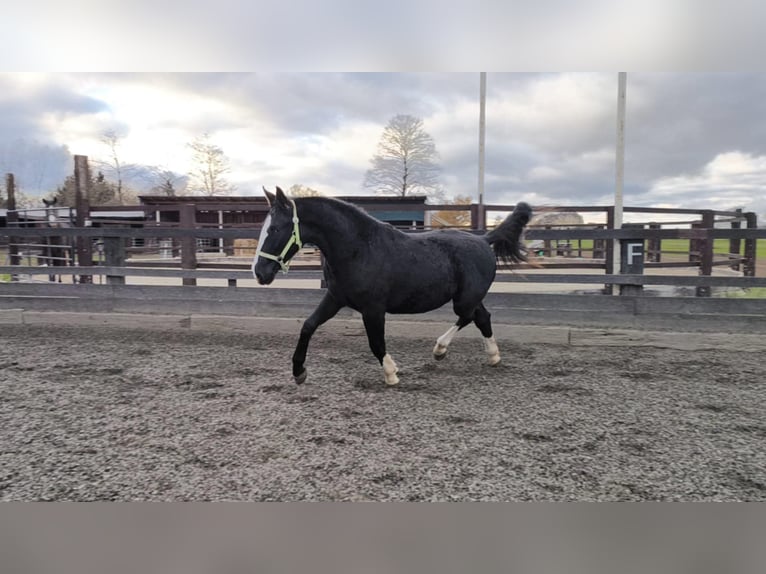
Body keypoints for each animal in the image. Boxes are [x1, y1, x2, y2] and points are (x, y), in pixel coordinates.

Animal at [255, 189, 532, 388]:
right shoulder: (335, 298)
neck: (358, 249)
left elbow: (376, 343)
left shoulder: (373, 309)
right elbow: (308, 326)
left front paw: (391, 374)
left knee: (468, 317)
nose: (259, 273)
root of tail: (484, 240)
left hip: (464, 299)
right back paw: (493, 356)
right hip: (469, 297)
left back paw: (440, 349)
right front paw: (299, 372)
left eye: (275, 228)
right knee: (482, 317)